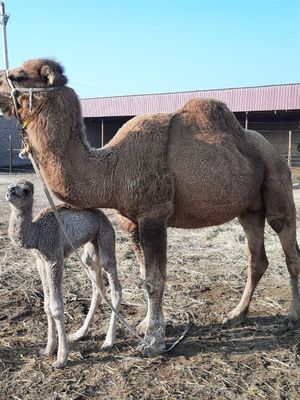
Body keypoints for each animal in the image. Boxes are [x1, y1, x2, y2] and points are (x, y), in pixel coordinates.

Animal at [5, 180, 121, 368]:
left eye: (26, 190)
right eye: (12, 186)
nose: (10, 192)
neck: (37, 234)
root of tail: (104, 216)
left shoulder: (55, 258)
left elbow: (56, 307)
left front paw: (61, 358)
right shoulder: (41, 261)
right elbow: (46, 305)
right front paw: (47, 349)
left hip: (106, 236)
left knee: (114, 286)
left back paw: (108, 341)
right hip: (91, 246)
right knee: (98, 288)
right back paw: (79, 334)